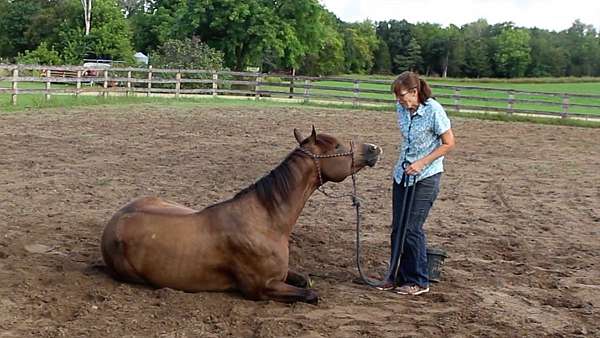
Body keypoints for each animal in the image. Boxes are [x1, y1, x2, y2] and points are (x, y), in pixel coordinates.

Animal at [98, 127, 380, 304]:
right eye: (337, 145)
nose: (374, 148)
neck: (265, 222)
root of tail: (114, 222)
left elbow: (306, 280)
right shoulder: (262, 288)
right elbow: (311, 294)